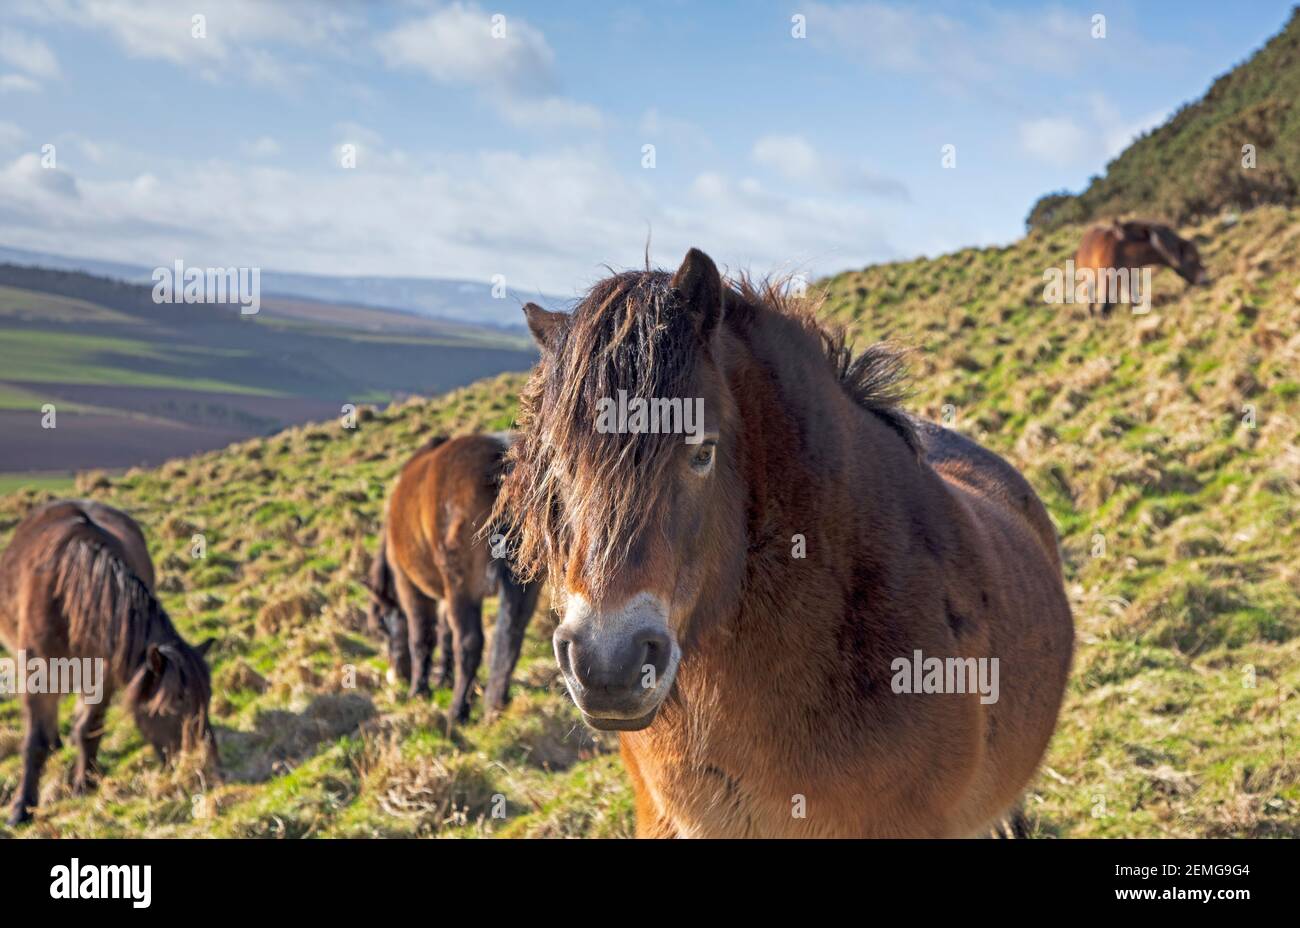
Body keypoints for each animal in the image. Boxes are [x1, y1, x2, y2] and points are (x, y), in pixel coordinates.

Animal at [0, 499, 215, 826]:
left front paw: (83, 782)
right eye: (170, 709)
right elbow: (33, 744)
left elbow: (89, 727)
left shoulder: (106, 672)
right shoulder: (39, 670)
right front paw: (22, 806)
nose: (198, 770)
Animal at [366, 428, 543, 717]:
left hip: (463, 587)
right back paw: (495, 704)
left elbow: (422, 638)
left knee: (470, 643)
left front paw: (420, 690)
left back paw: (457, 710)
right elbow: (446, 633)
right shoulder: (446, 595)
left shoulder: (410, 588)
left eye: (380, 625)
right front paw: (443, 679)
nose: (397, 675)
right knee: (510, 635)